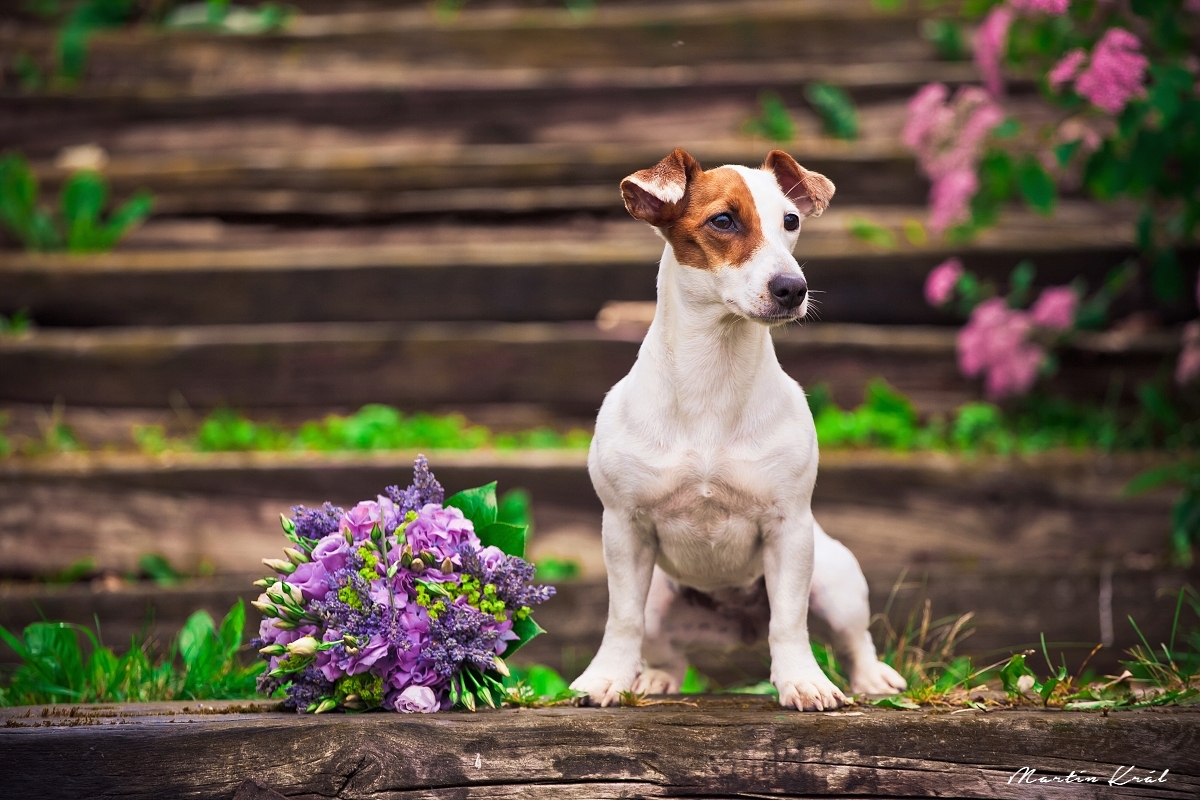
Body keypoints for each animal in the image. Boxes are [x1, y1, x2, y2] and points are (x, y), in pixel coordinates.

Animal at [566, 146, 902, 710]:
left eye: (791, 221)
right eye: (723, 220)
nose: (793, 288)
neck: (713, 376)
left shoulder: (790, 528)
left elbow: (789, 622)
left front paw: (802, 681)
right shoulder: (624, 528)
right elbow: (621, 619)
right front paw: (604, 678)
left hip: (835, 579)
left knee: (854, 639)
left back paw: (872, 678)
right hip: (659, 598)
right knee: (665, 651)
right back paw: (653, 678)